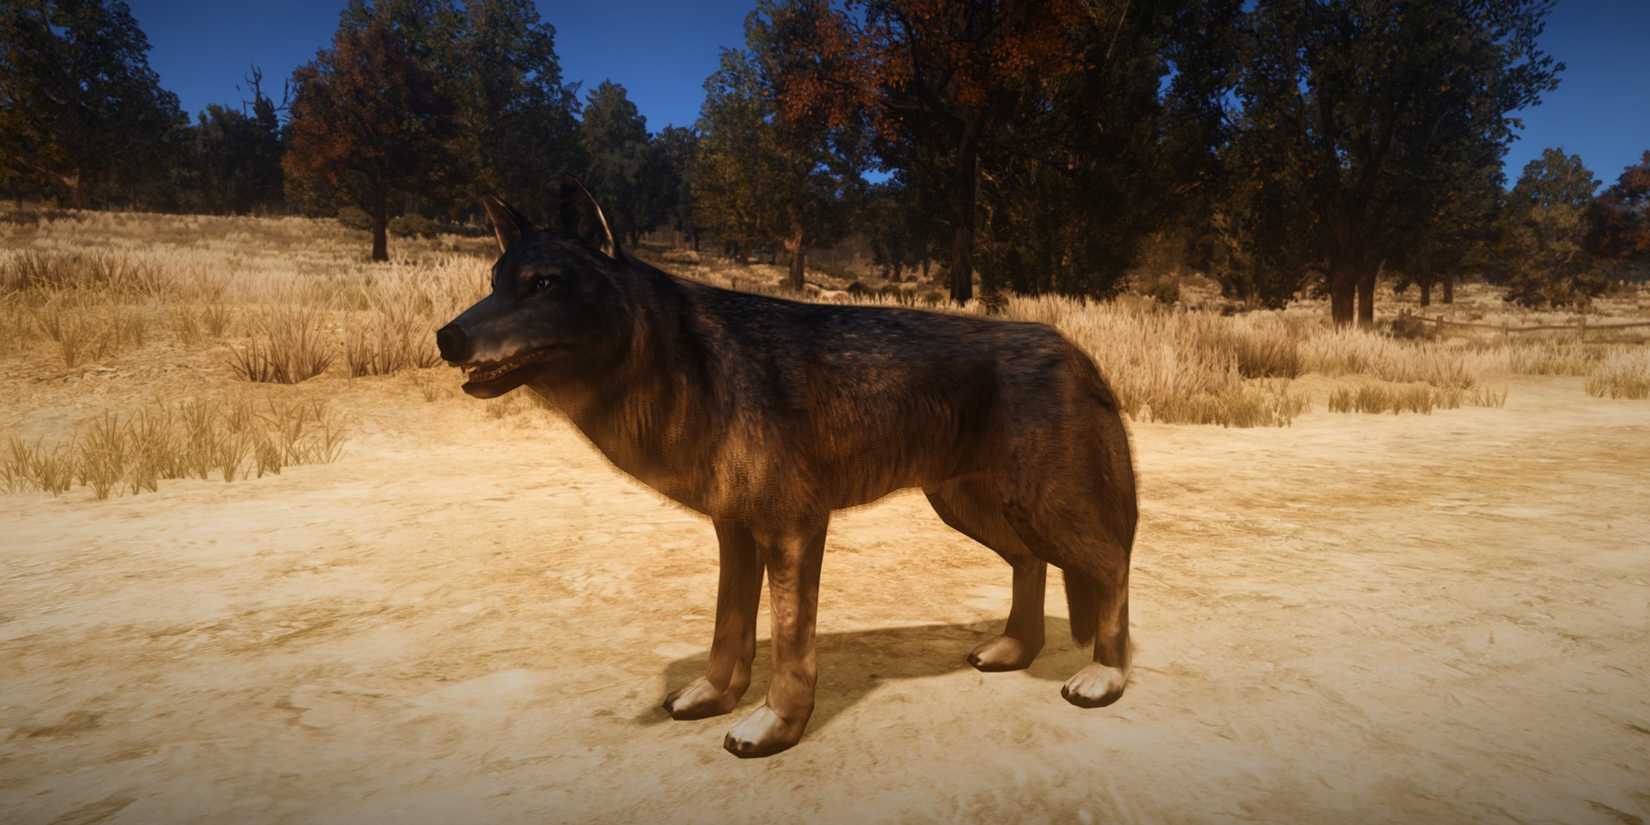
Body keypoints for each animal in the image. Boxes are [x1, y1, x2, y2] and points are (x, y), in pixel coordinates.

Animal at [436, 177, 1139, 758]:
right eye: (495, 282)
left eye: (543, 284)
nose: (446, 337)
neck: (686, 365)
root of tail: (1077, 351)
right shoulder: (736, 532)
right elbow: (728, 630)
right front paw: (714, 697)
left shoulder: (795, 530)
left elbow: (790, 642)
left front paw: (774, 726)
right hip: (971, 509)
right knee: (1032, 562)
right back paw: (1013, 650)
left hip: (1046, 508)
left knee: (1111, 567)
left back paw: (1105, 676)